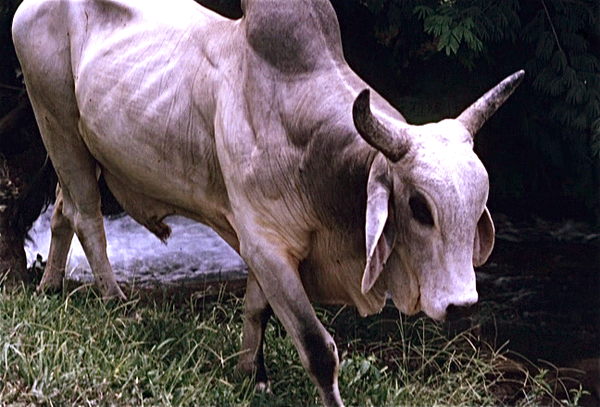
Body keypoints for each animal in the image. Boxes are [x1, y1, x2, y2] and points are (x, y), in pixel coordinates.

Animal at [11, 1, 524, 406]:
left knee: (62, 210)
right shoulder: (265, 244)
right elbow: (318, 349)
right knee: (88, 218)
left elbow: (257, 310)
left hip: (76, 146)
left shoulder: (264, 247)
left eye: (478, 203)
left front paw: (250, 374)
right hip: (55, 122)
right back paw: (116, 302)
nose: (461, 304)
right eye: (419, 207)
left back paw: (50, 287)